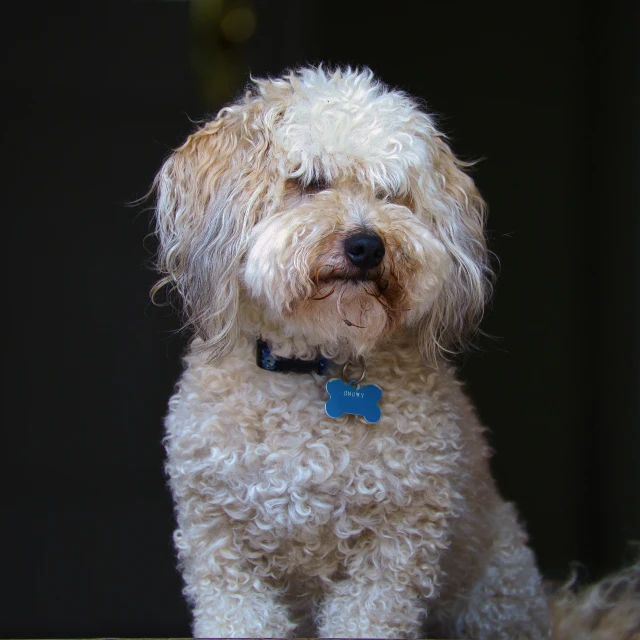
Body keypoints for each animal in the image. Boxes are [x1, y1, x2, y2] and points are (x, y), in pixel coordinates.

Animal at [152, 67, 552, 636]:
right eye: (310, 180)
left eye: (393, 194)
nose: (367, 245)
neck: (312, 361)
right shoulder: (221, 547)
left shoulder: (393, 551)